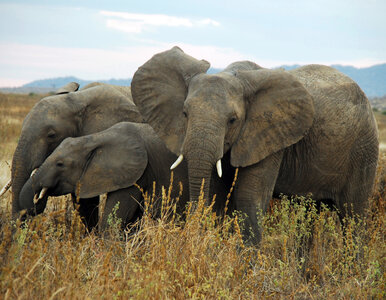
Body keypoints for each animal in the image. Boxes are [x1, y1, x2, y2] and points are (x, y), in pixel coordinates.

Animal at [131, 47, 378, 244]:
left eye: (232, 120)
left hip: (364, 149)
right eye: (184, 113)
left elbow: (249, 198)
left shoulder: (269, 134)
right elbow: (221, 196)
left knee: (353, 217)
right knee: (306, 214)